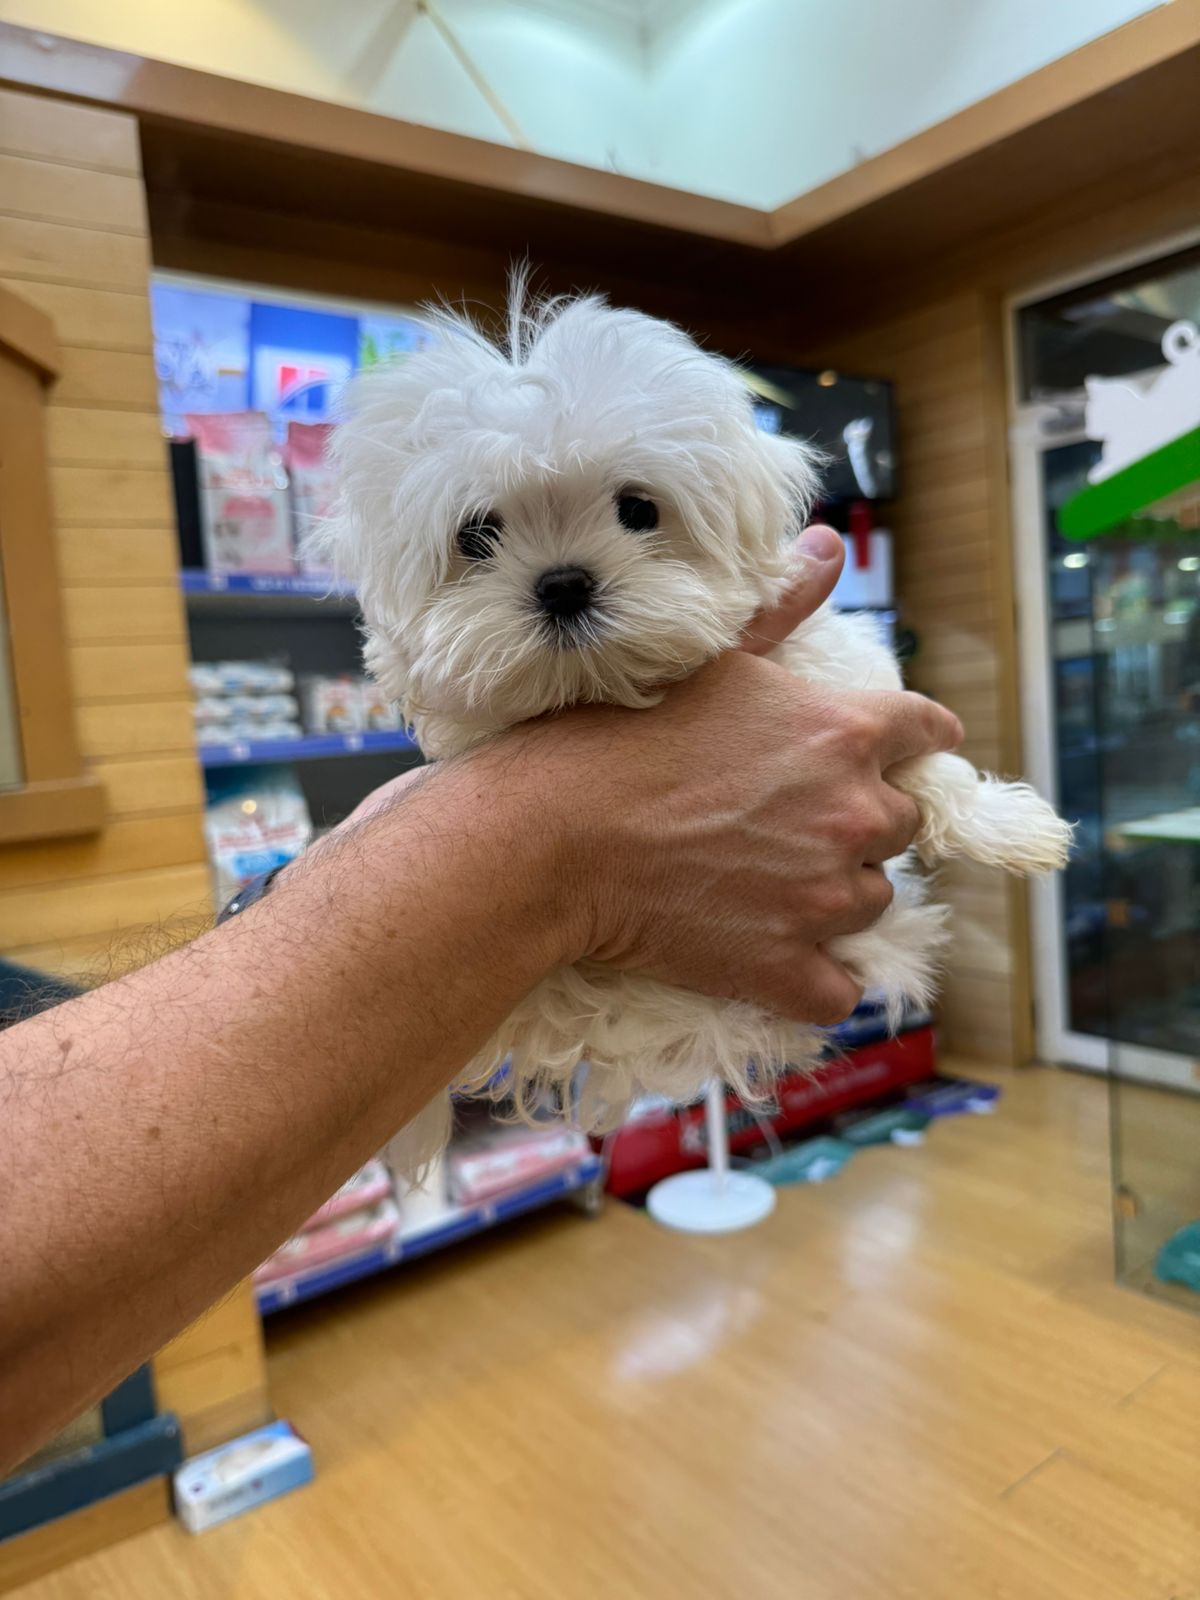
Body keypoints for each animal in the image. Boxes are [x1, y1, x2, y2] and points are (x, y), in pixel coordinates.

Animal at [316, 288, 1068, 1171]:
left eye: (639, 509)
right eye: (476, 536)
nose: (563, 583)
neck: (622, 693)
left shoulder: (841, 684)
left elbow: (919, 758)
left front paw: (1013, 828)